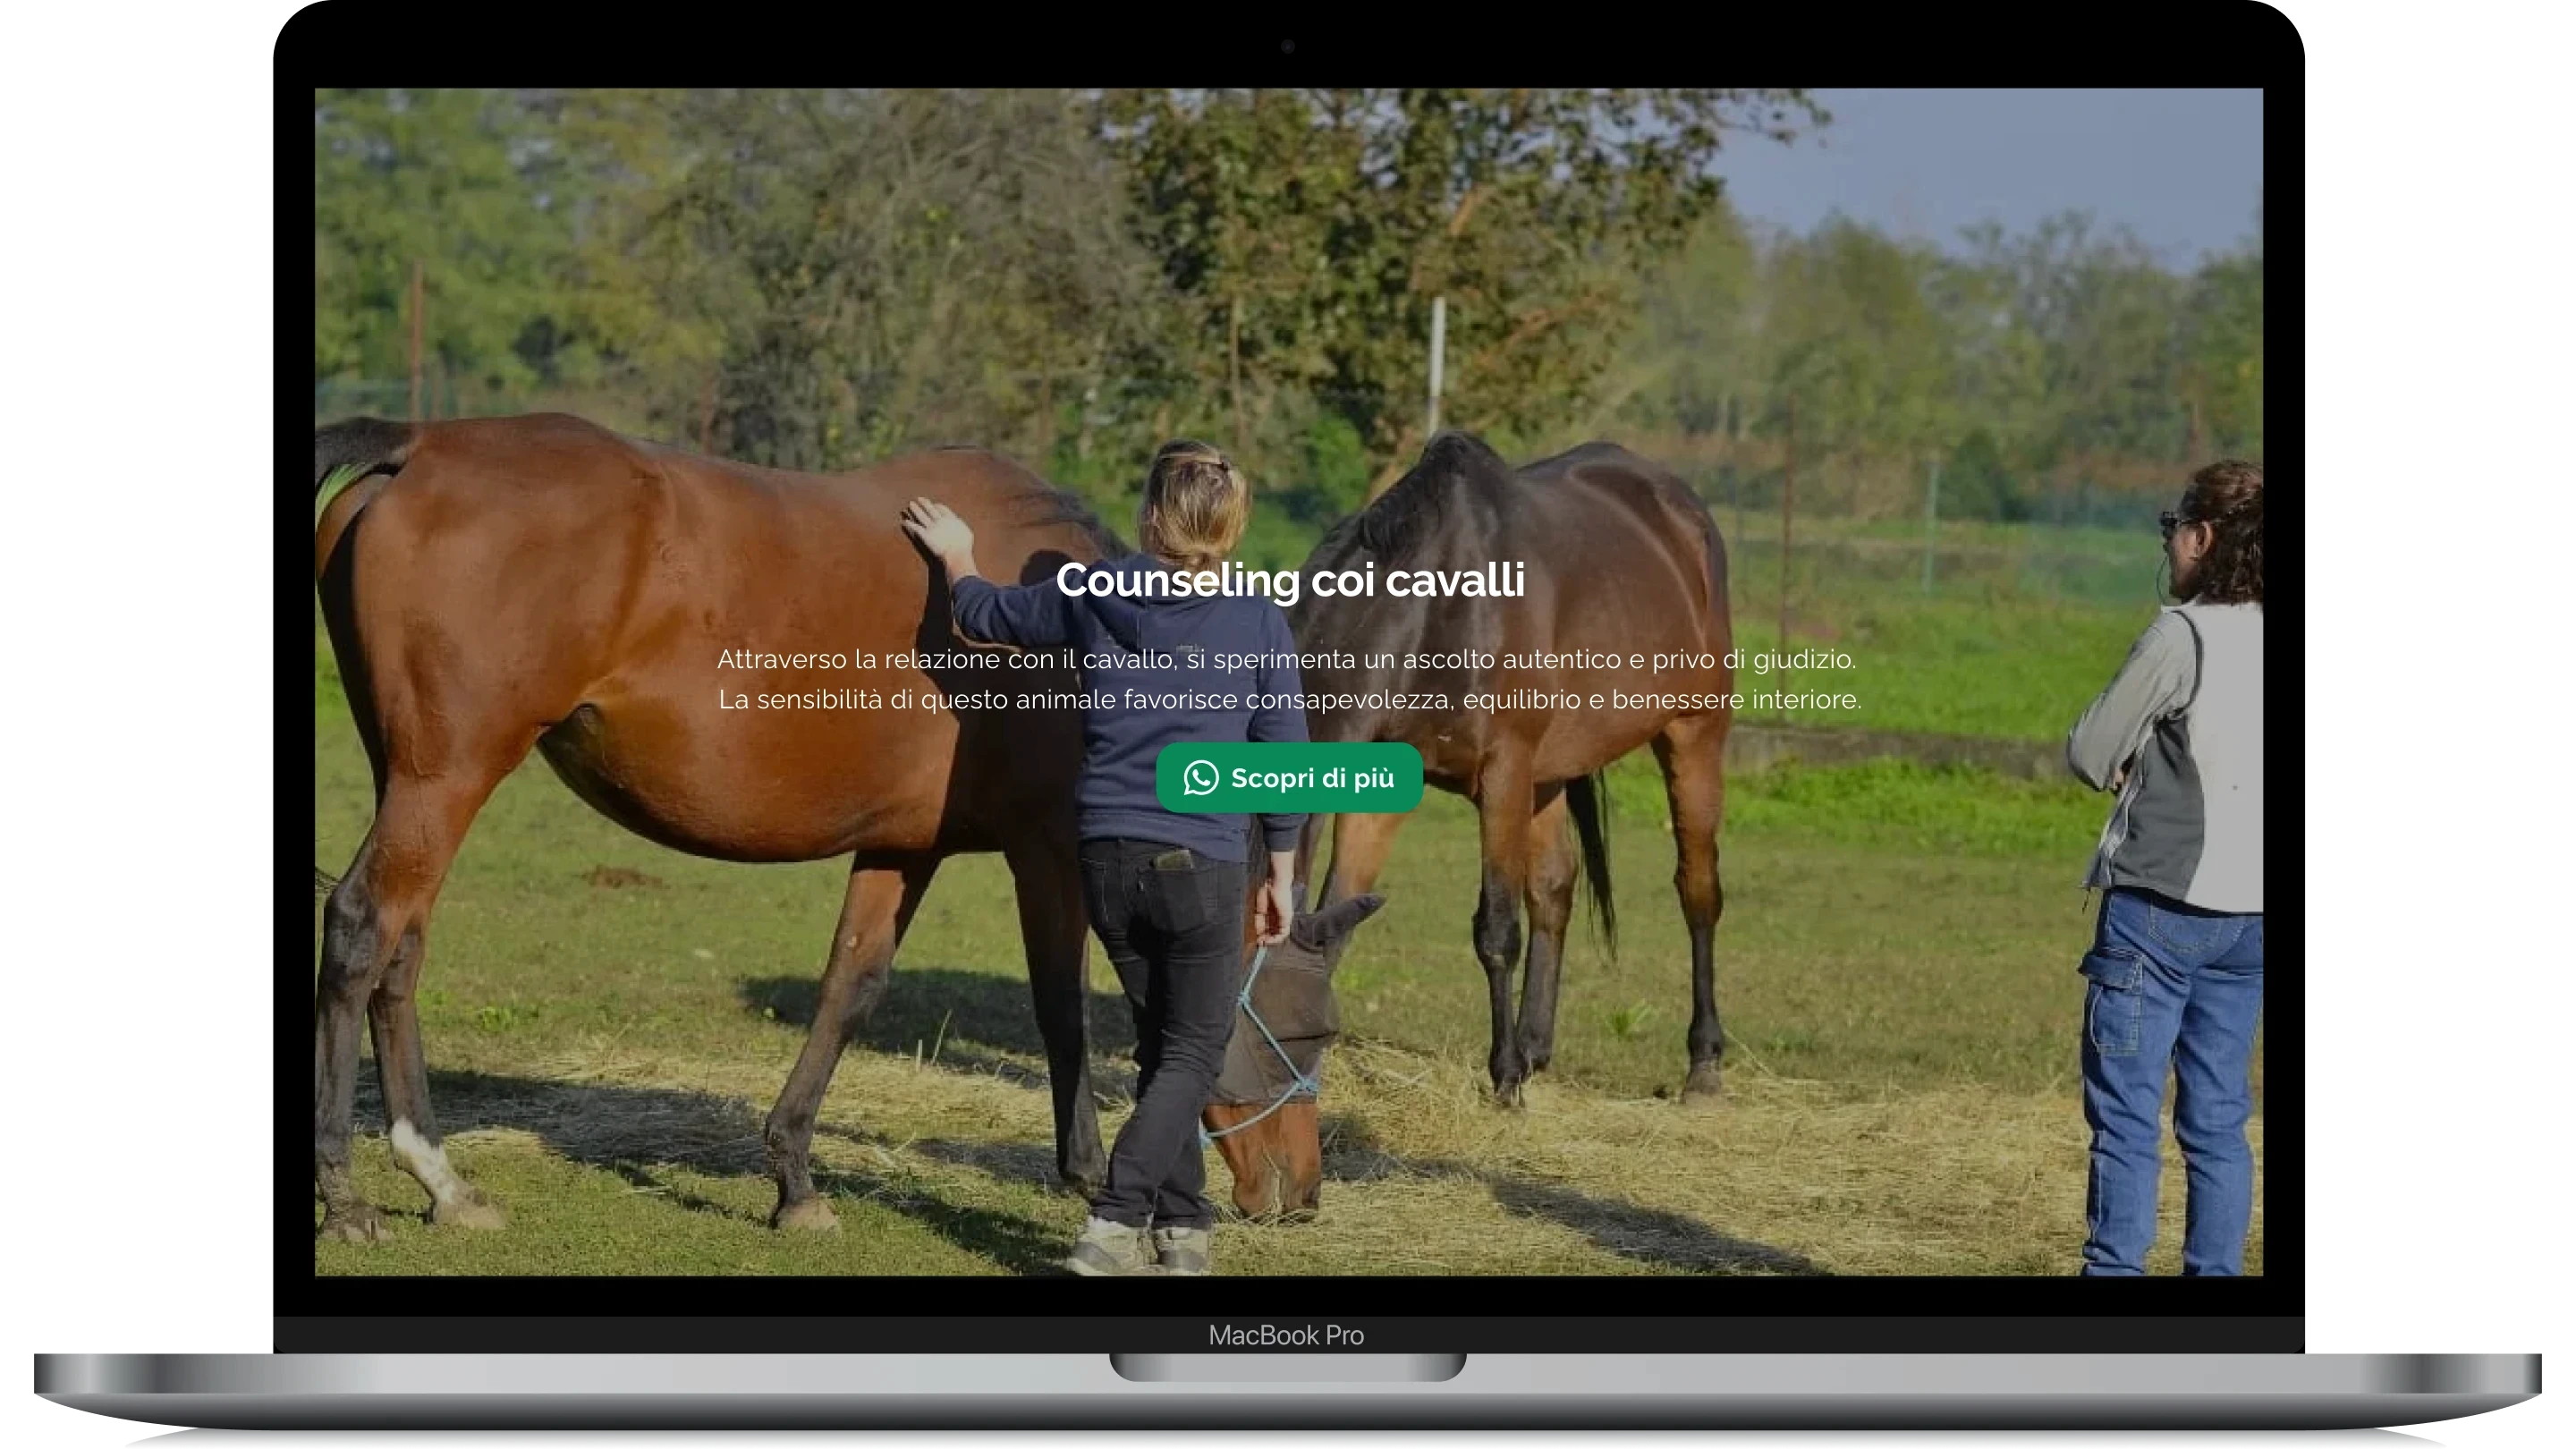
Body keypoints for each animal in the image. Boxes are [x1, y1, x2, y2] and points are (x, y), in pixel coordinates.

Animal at [311, 411, 1386, 1243]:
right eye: (1306, 1032)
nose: (1300, 1195)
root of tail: (420, 445)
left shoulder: (902, 847)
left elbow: (848, 990)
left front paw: (794, 1181)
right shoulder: (1047, 851)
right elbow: (1064, 1009)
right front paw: (1091, 1175)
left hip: (414, 778)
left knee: (402, 950)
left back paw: (442, 1183)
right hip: (446, 779)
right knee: (363, 928)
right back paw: (349, 1196)